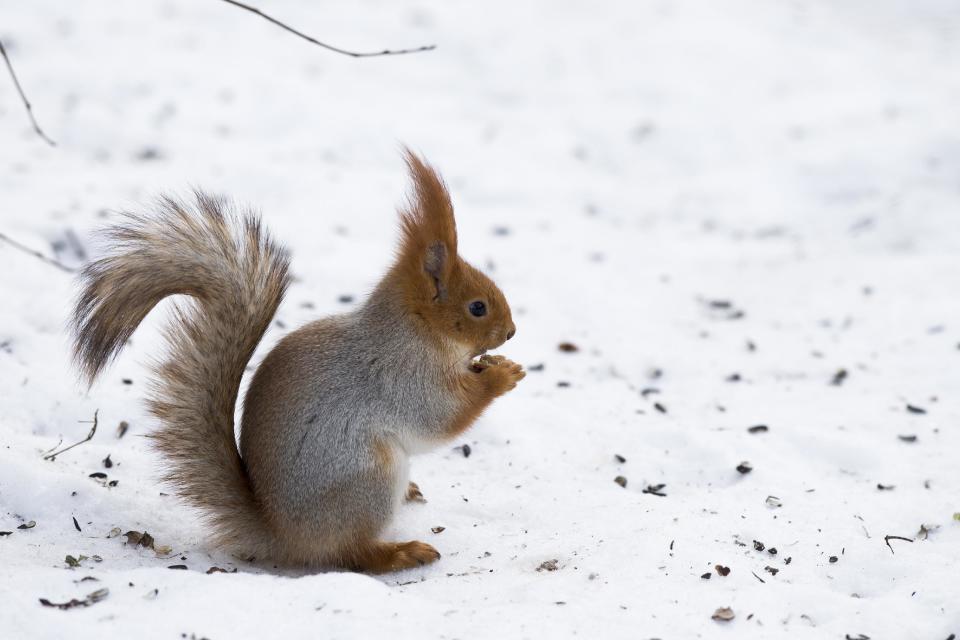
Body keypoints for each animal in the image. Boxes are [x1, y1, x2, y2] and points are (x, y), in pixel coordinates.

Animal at [70, 151, 524, 576]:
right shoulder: (401, 376)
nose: (511, 332)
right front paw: (502, 376)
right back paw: (400, 553)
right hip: (369, 481)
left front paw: (496, 365)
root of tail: (282, 536)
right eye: (478, 307)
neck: (415, 330)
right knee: (351, 553)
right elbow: (441, 417)